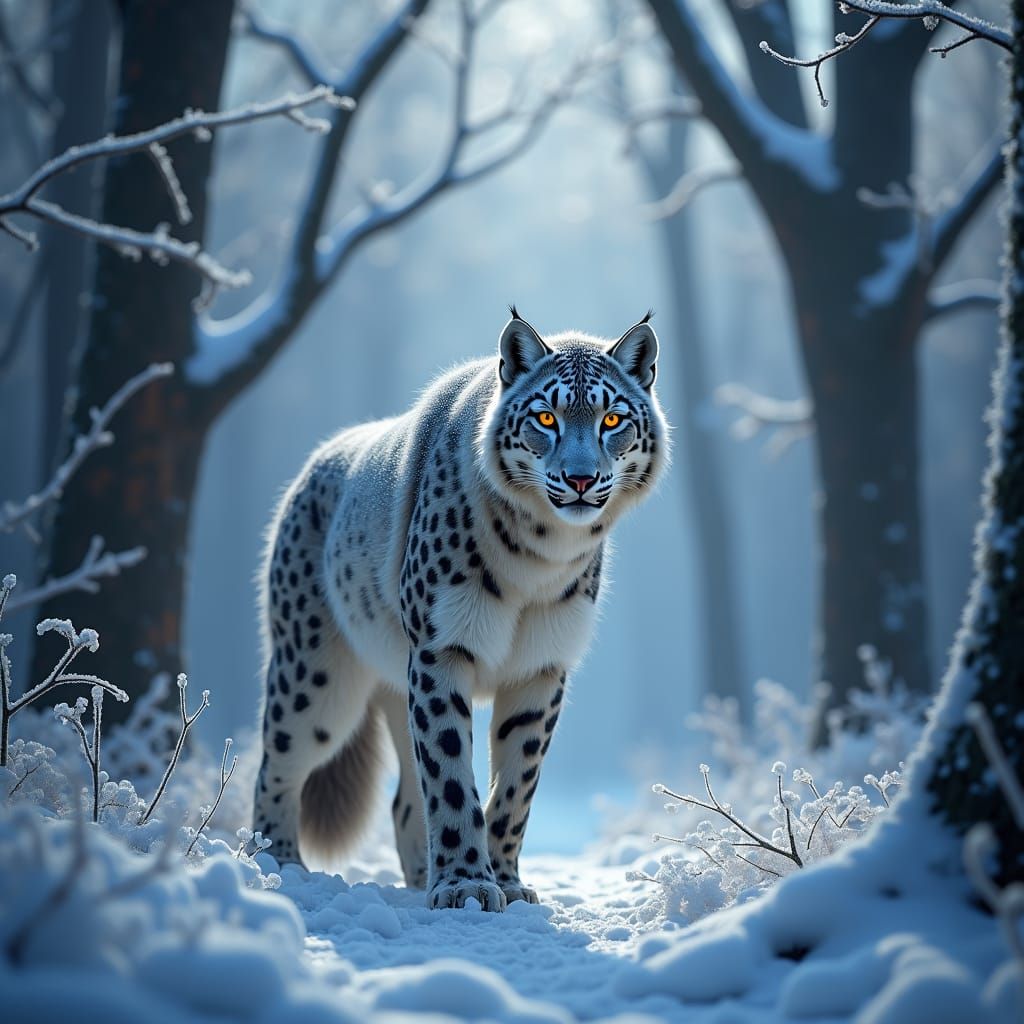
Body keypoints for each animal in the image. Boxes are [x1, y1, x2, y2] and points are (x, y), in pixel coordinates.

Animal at [252, 308, 669, 911]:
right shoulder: (440, 647)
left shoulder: (542, 665)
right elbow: (450, 775)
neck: (539, 560)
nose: (580, 478)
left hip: (390, 683)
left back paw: (417, 876)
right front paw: (466, 886)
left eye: (612, 418)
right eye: (546, 416)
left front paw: (505, 882)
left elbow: (516, 784)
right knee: (277, 763)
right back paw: (279, 867)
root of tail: (313, 467)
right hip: (314, 675)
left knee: (404, 799)